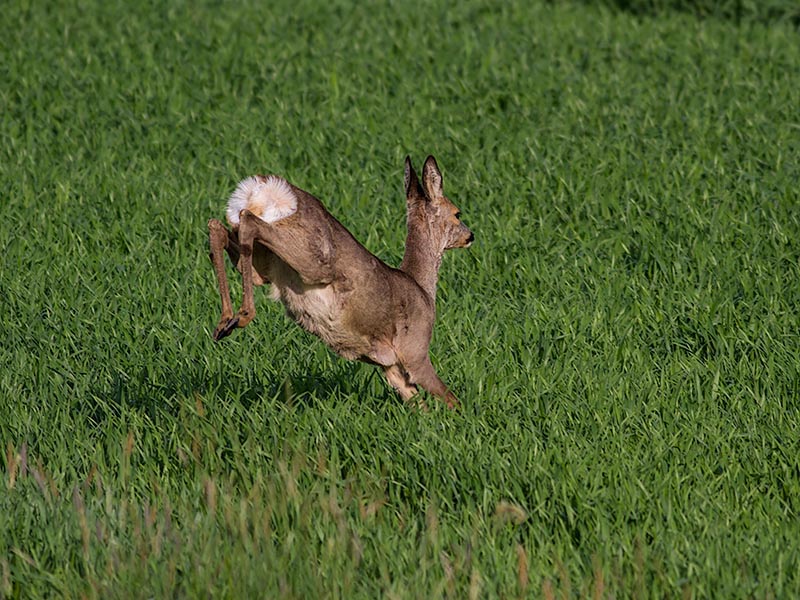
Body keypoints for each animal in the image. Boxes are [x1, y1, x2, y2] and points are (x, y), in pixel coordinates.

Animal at [208, 155, 476, 410]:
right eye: (457, 213)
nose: (470, 235)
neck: (422, 289)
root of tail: (261, 189)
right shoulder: (415, 351)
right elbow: (453, 401)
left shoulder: (390, 366)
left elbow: (419, 406)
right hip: (313, 260)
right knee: (247, 221)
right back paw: (241, 317)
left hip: (265, 265)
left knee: (219, 227)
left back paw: (224, 323)